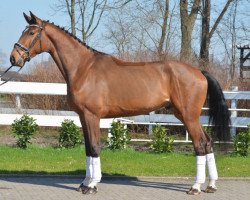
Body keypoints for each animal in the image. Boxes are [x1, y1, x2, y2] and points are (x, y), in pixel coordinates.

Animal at [9, 12, 229, 195]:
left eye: (31, 32)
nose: (14, 58)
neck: (83, 68)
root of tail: (199, 72)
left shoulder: (92, 116)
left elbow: (95, 148)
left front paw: (92, 185)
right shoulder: (82, 117)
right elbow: (88, 149)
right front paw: (84, 183)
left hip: (188, 116)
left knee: (200, 145)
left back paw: (196, 187)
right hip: (184, 115)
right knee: (208, 143)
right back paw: (211, 185)